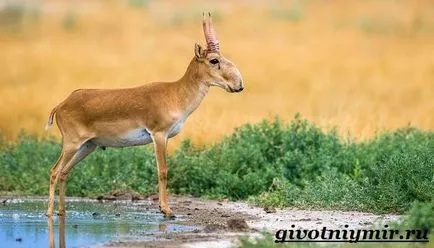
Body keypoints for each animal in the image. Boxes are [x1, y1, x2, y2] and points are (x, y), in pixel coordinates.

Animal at [45, 13, 242, 217]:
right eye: (214, 60)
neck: (175, 94)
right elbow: (162, 171)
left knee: (64, 173)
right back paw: (50, 213)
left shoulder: (165, 137)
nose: (239, 85)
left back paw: (62, 212)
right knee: (54, 171)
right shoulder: (159, 135)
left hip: (88, 146)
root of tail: (60, 105)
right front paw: (166, 209)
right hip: (72, 144)